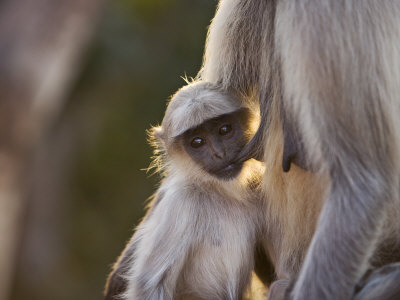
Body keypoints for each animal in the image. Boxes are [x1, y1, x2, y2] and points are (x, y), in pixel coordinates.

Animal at [104, 82, 272, 300]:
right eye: (197, 142)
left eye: (224, 130)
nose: (219, 153)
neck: (217, 192)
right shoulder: (179, 203)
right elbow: (148, 286)